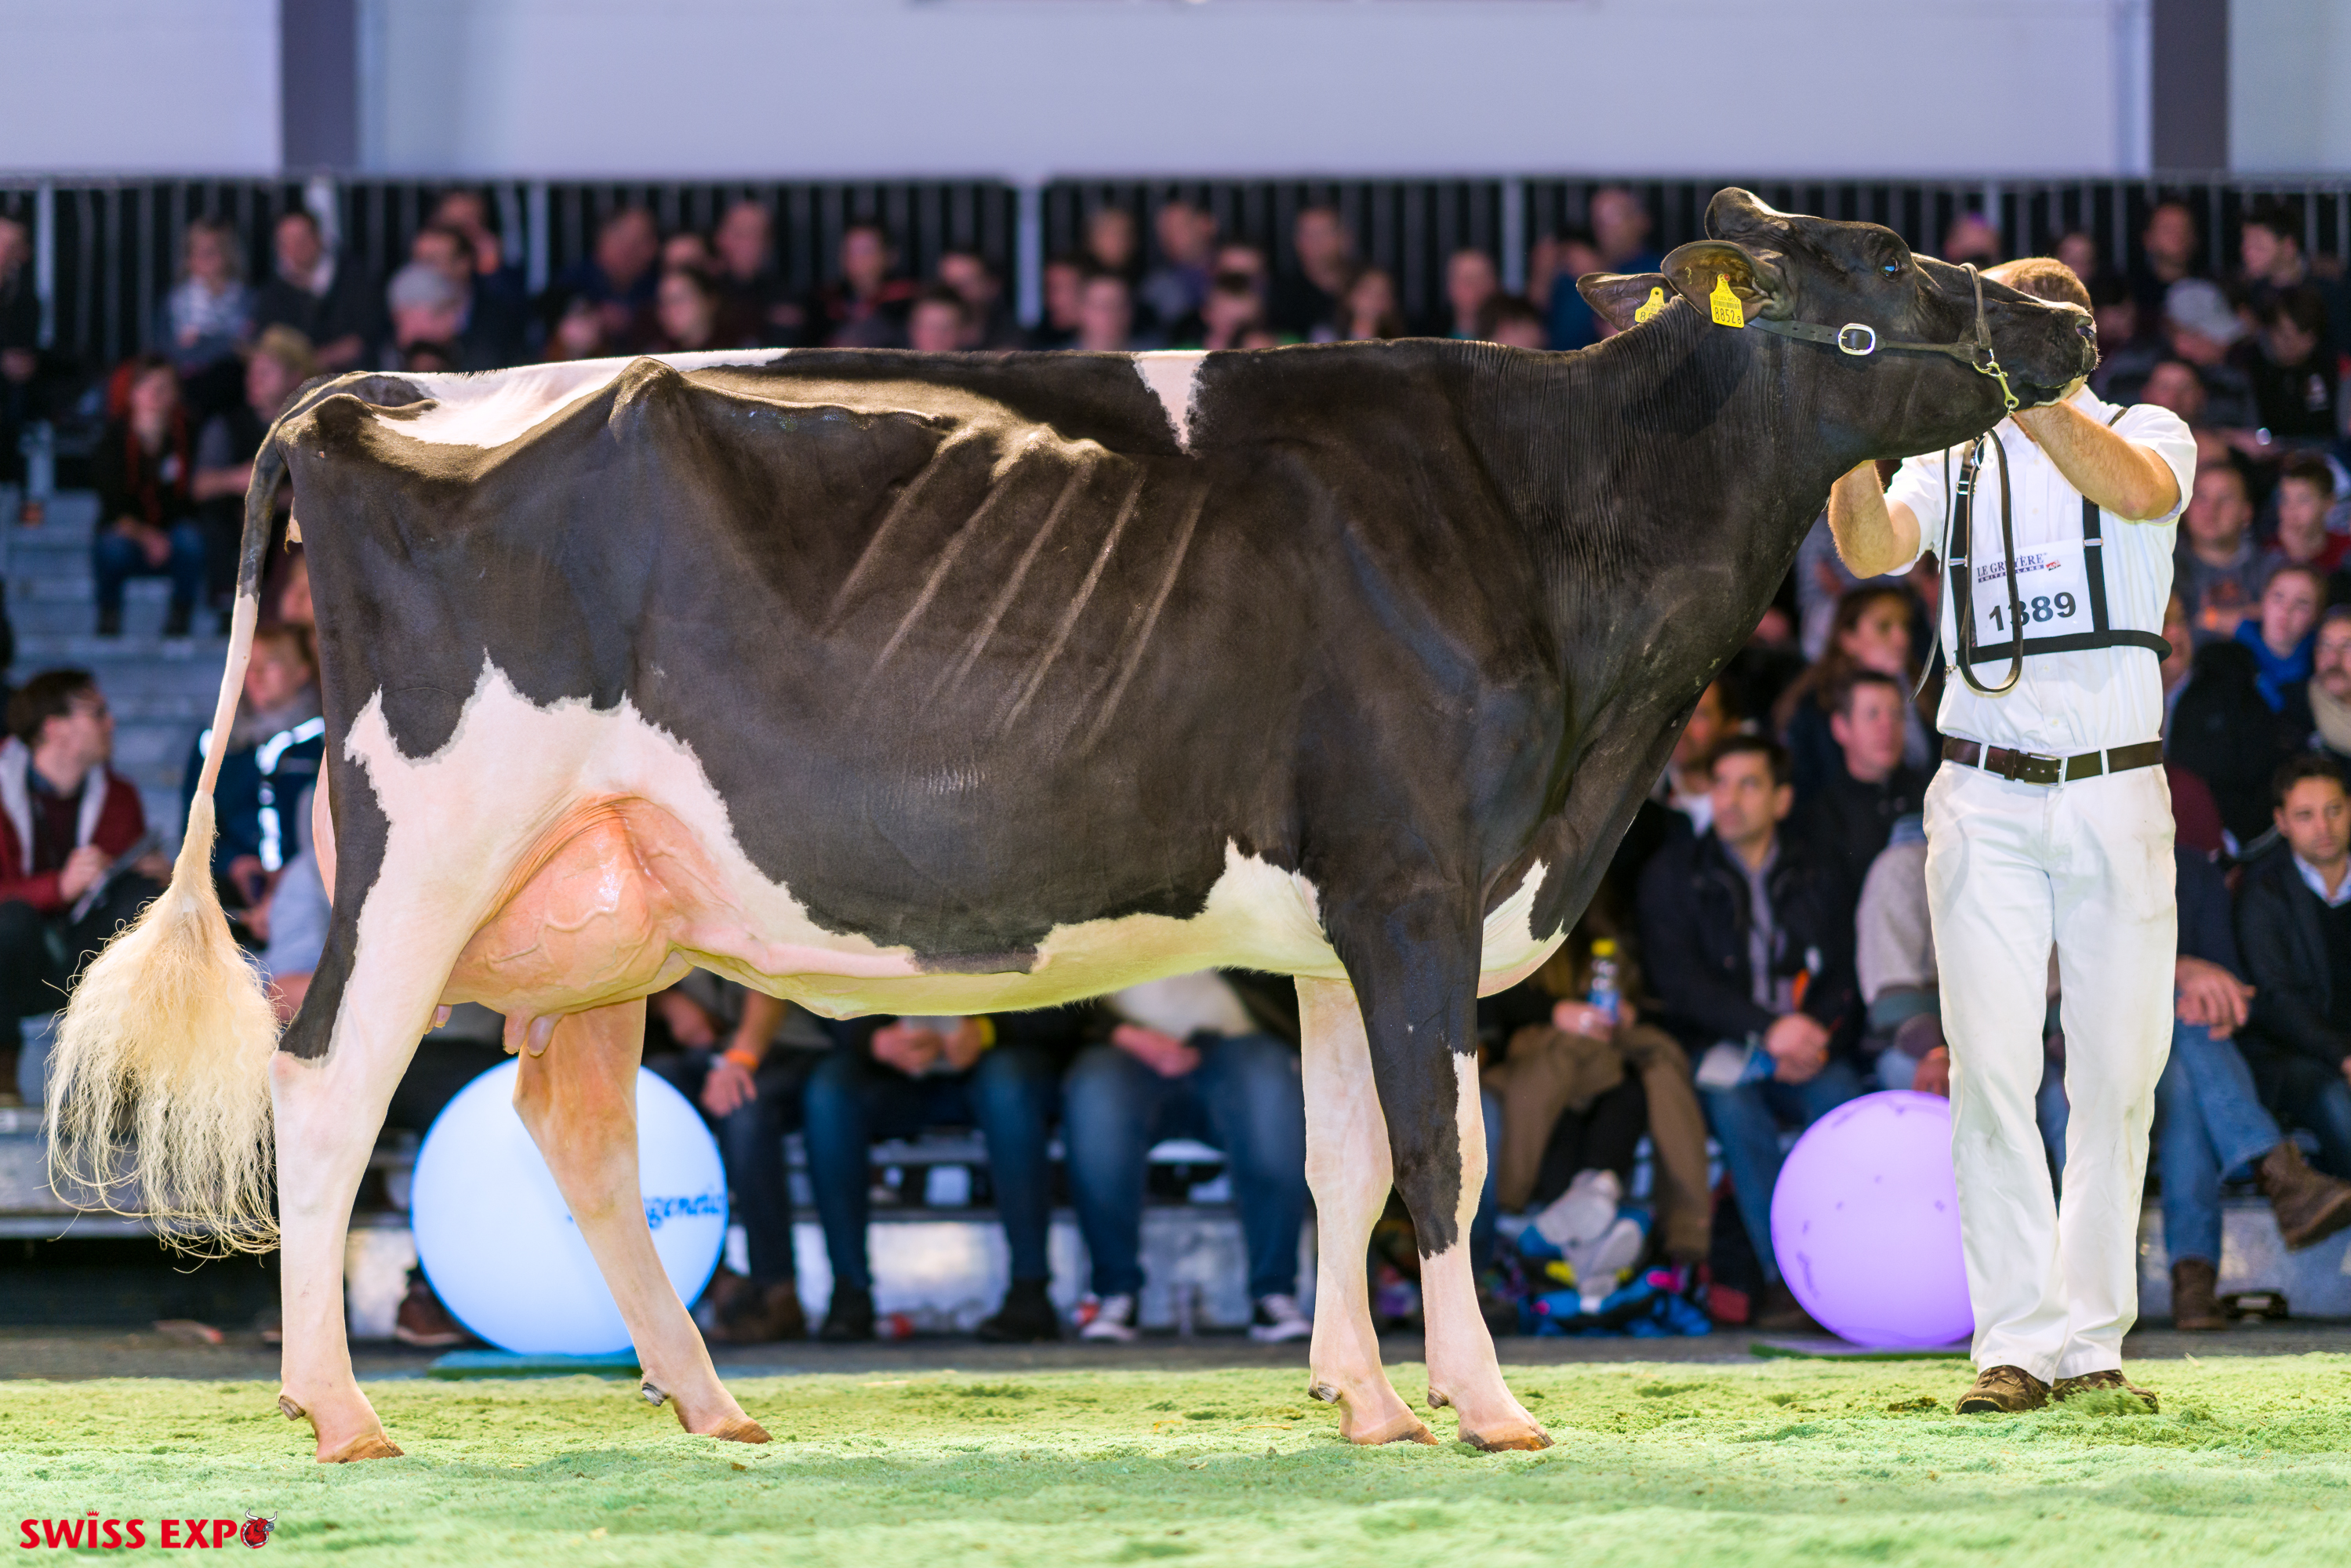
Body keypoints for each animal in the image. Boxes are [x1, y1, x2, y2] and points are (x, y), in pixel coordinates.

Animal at [49, 190, 2094, 1461]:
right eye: (1891, 256)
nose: (2066, 304)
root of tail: (367, 394)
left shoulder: (1341, 915)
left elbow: (1344, 1159)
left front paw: (1361, 1399)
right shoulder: (1417, 881)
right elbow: (1442, 1155)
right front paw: (1489, 1405)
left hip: (600, 899)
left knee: (580, 1131)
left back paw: (709, 1403)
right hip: (428, 841)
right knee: (328, 1086)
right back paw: (339, 1408)